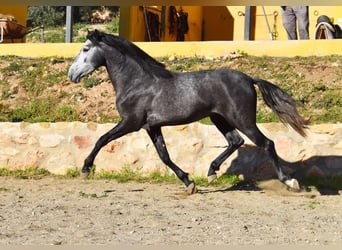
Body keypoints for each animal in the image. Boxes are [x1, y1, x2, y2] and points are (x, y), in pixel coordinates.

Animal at [67, 30, 308, 194]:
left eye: (85, 49)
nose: (71, 74)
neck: (137, 83)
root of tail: (249, 79)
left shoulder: (130, 122)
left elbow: (101, 139)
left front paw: (85, 169)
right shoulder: (152, 127)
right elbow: (164, 156)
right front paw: (189, 183)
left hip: (243, 120)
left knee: (267, 143)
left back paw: (290, 182)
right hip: (219, 118)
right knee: (235, 141)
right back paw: (211, 173)